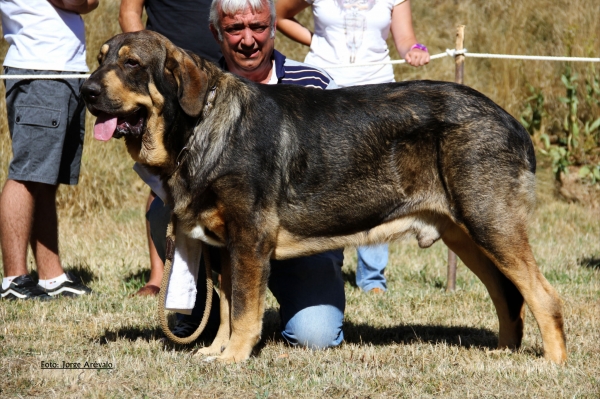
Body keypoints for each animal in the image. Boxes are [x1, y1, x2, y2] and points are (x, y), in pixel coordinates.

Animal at [81, 29, 568, 364]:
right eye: (100, 60)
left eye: (131, 64)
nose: (86, 91)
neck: (198, 128)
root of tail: (510, 120)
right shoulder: (222, 249)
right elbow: (226, 309)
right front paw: (216, 352)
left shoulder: (249, 240)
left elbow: (244, 310)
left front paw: (234, 358)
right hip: (465, 235)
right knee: (508, 296)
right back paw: (503, 353)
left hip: (490, 224)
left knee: (543, 295)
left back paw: (552, 364)